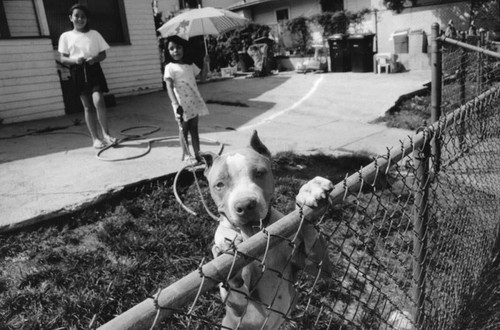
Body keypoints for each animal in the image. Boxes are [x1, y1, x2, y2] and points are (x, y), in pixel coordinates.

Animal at [201, 130, 334, 328]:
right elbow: (235, 289)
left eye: (259, 173)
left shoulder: (316, 266)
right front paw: (228, 255)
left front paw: (309, 192)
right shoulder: (238, 307)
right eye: (219, 185)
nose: (245, 205)